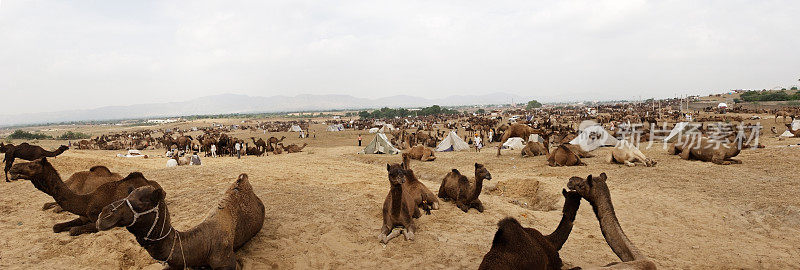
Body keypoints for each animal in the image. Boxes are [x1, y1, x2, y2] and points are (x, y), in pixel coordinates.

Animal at [9, 157, 161, 235]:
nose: (13, 168)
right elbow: (56, 227)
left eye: (32, 165)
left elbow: (74, 230)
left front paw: (72, 229)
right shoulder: (83, 217)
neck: (86, 202)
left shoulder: (99, 220)